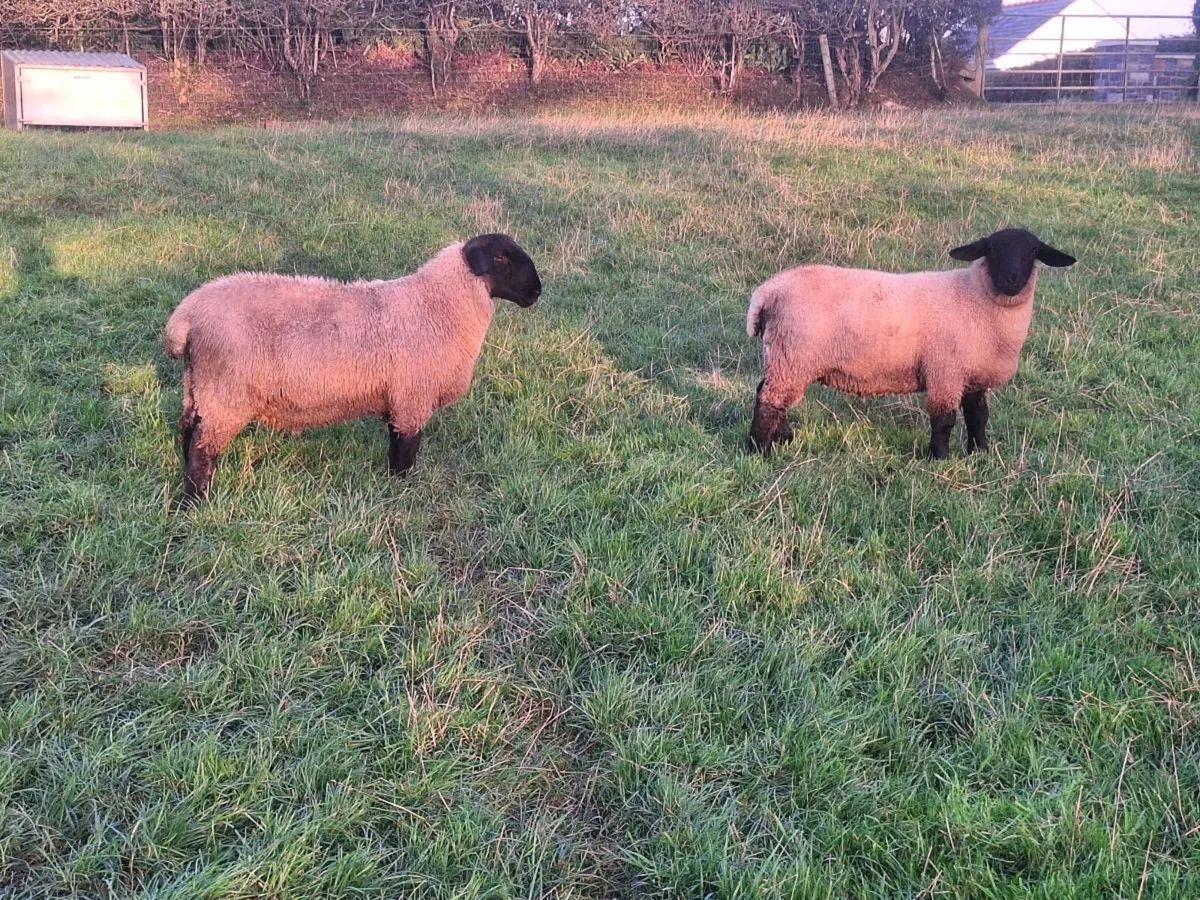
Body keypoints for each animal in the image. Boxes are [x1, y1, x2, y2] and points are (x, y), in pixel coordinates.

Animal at [164, 233, 542, 506]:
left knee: (187, 431)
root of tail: (186, 315)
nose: (537, 292)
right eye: (502, 257)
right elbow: (405, 451)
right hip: (225, 392)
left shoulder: (399, 400)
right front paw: (403, 489)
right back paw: (196, 502)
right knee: (202, 448)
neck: (436, 304)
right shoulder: (412, 398)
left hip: (198, 386)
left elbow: (395, 444)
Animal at [745, 227, 1076, 459]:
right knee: (769, 400)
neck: (978, 297)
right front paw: (939, 458)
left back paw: (782, 438)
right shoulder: (945, 371)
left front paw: (980, 454)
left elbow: (978, 416)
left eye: (1033, 250)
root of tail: (769, 290)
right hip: (794, 354)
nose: (1011, 278)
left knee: (768, 393)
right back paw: (760, 451)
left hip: (787, 356)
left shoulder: (973, 373)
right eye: (992, 248)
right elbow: (944, 419)